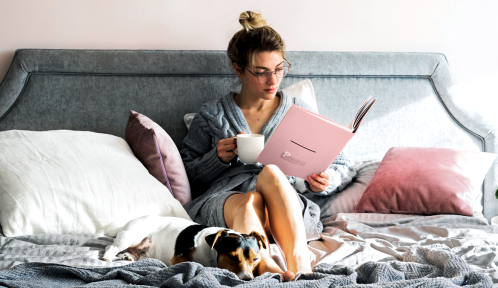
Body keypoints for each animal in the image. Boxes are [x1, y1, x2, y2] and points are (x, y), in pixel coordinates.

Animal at [102, 216, 268, 280]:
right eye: (233, 257)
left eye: (255, 259)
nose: (248, 279)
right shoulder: (178, 258)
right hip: (131, 236)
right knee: (111, 247)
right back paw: (107, 257)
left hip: (142, 251)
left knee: (126, 251)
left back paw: (127, 256)